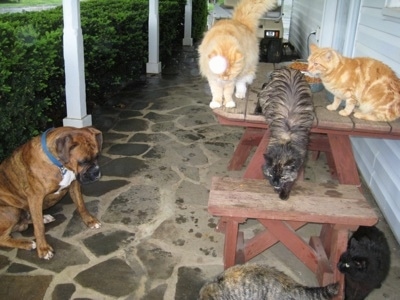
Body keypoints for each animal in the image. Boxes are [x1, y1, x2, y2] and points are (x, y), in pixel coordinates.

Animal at [0, 125, 103, 258]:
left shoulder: (74, 184)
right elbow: (39, 226)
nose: (96, 172)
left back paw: (44, 218)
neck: (60, 165)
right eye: (82, 161)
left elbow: (81, 205)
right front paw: (43, 248)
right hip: (11, 210)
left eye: (97, 156)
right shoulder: (35, 197)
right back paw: (26, 243)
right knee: (3, 238)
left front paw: (90, 220)